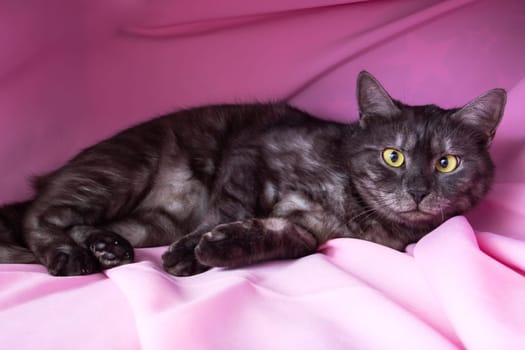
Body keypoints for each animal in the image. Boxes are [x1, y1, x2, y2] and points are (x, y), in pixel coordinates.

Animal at [0, 72, 504, 276]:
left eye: (447, 163)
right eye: (393, 156)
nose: (418, 191)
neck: (353, 206)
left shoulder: (308, 231)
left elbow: (279, 237)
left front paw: (216, 249)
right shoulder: (250, 155)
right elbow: (229, 209)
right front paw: (190, 254)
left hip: (151, 221)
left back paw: (107, 247)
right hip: (122, 171)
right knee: (41, 218)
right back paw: (71, 255)